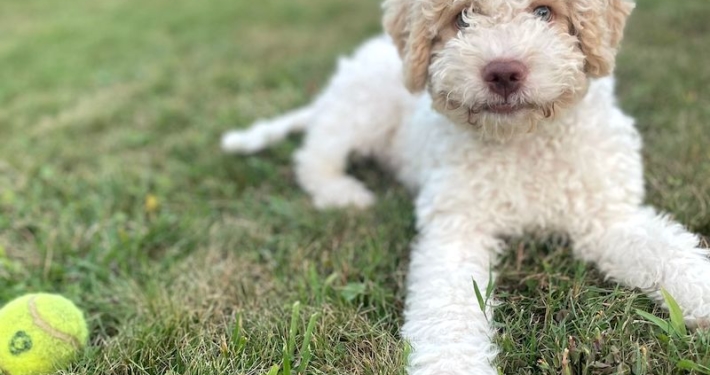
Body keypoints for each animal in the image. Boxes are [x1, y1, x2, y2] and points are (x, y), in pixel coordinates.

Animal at [224, 0, 710, 374]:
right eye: (462, 16)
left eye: (544, 11)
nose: (503, 72)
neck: (522, 142)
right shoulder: (456, 231)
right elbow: (448, 310)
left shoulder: (607, 216)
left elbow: (671, 253)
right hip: (362, 111)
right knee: (315, 155)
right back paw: (342, 193)